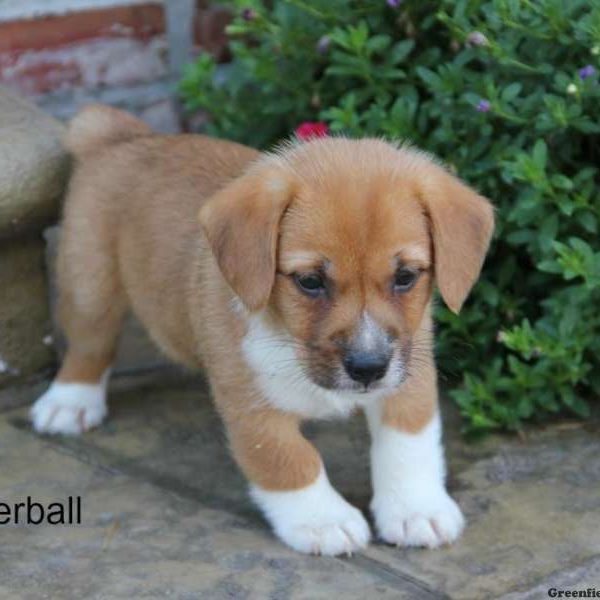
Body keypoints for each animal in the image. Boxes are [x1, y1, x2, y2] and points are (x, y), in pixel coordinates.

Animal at [30, 104, 494, 556]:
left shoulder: (408, 374)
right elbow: (288, 460)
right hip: (90, 284)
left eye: (405, 277)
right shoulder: (250, 404)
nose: (366, 369)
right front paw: (323, 521)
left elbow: (408, 445)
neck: (288, 339)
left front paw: (416, 509)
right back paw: (69, 404)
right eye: (309, 281)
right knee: (89, 345)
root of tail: (121, 136)